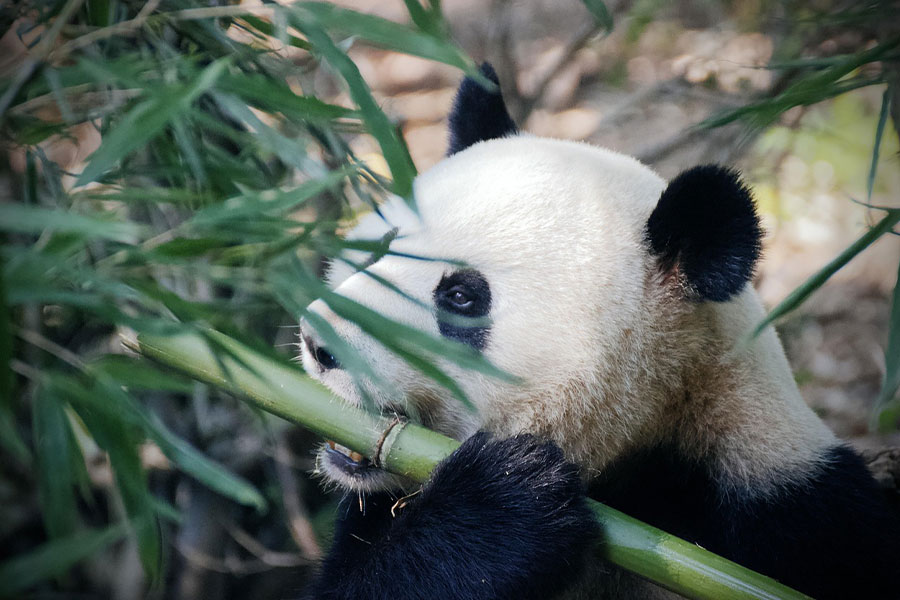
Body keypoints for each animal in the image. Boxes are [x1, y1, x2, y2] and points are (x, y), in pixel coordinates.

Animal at [298, 64, 900, 599]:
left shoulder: (795, 514)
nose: (320, 343)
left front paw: (506, 497)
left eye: (462, 298)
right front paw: (504, 503)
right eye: (379, 248)